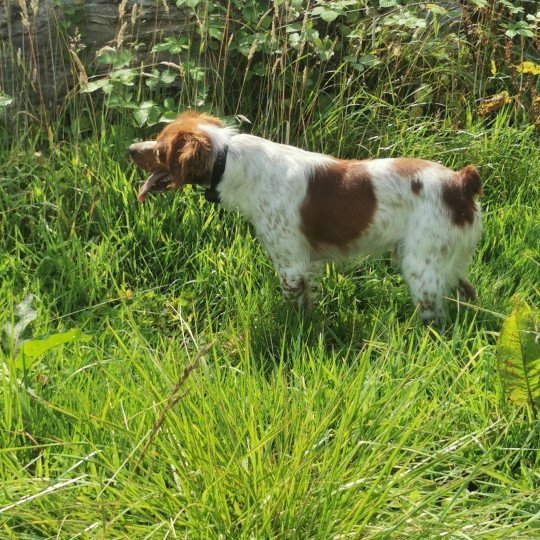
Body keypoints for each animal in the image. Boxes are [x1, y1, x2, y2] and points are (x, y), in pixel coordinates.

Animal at [130, 112, 480, 326]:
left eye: (160, 148)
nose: (131, 148)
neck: (228, 160)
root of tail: (460, 182)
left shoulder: (291, 266)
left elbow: (293, 309)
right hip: (445, 263)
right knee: (467, 293)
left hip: (420, 268)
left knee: (436, 321)